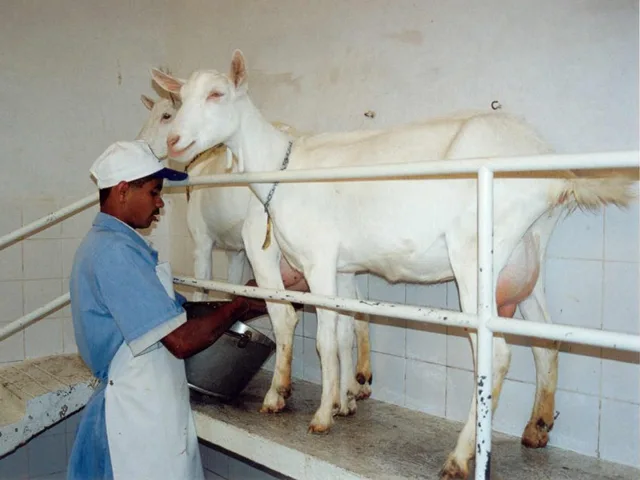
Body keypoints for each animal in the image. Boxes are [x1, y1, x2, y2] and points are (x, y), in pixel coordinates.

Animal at [137, 93, 372, 404]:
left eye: (166, 116)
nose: (142, 146)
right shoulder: (236, 251)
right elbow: (233, 289)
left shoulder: (202, 239)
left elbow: (203, 285)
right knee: (358, 309)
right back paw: (358, 383)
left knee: (287, 316)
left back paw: (281, 392)